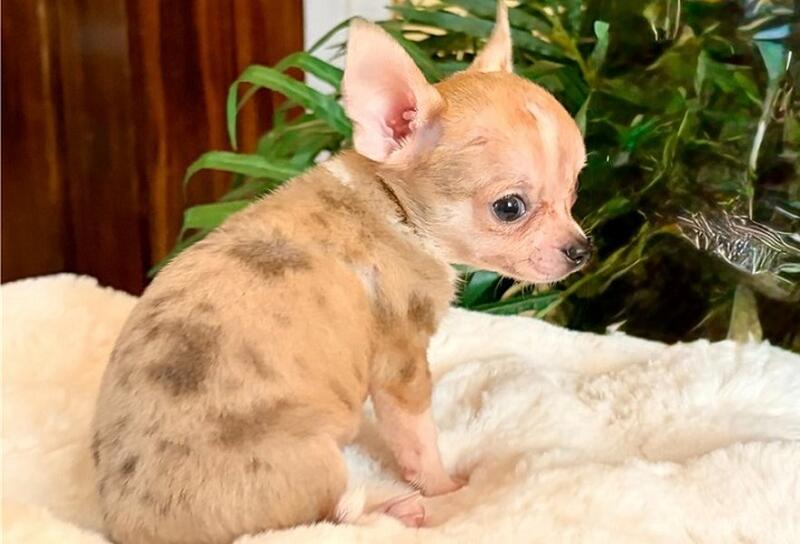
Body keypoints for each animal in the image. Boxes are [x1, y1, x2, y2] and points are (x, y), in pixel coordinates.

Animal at [91, 3, 590, 542]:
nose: (581, 250)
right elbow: (418, 439)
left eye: (574, 191)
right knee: (332, 515)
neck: (393, 205)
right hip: (313, 460)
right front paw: (444, 488)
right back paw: (394, 509)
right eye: (509, 208)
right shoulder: (401, 366)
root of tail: (134, 528)